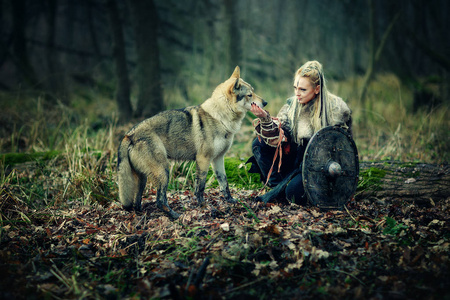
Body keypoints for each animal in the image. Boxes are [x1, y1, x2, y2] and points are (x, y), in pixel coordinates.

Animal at [118, 67, 268, 219]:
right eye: (249, 95)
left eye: (253, 92)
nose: (265, 103)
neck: (220, 117)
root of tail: (129, 134)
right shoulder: (203, 159)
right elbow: (200, 187)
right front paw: (203, 207)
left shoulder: (218, 159)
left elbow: (224, 183)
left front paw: (230, 201)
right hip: (163, 171)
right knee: (160, 200)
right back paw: (176, 216)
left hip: (143, 178)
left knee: (137, 202)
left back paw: (142, 214)